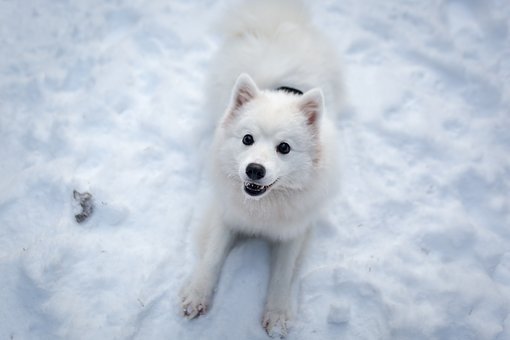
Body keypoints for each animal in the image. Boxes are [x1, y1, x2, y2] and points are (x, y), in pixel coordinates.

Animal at [179, 0, 342, 338]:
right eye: (247, 139)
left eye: (284, 148)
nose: (254, 170)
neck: (263, 207)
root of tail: (276, 21)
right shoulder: (226, 216)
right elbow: (212, 257)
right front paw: (197, 295)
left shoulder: (294, 230)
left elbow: (282, 275)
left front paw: (277, 316)